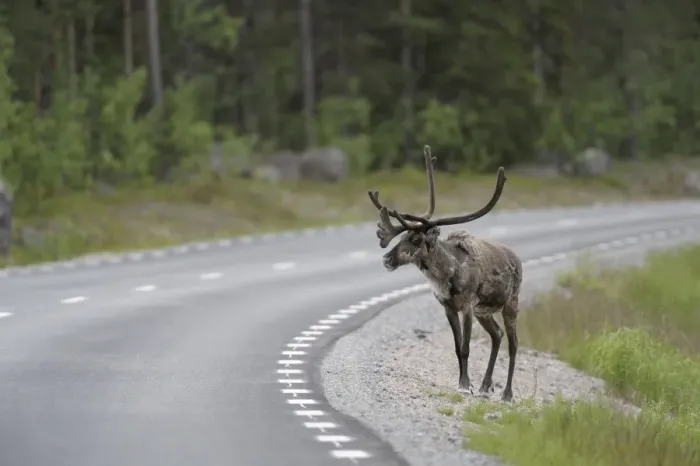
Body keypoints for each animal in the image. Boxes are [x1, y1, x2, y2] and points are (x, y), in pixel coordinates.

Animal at [368, 145, 522, 402]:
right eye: (402, 236)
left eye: (416, 239)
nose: (386, 259)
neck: (447, 275)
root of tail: (517, 258)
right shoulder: (448, 307)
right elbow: (457, 347)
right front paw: (464, 383)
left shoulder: (468, 306)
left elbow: (466, 347)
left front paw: (466, 385)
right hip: (484, 311)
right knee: (497, 335)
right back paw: (485, 386)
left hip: (511, 303)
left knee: (513, 343)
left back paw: (507, 394)